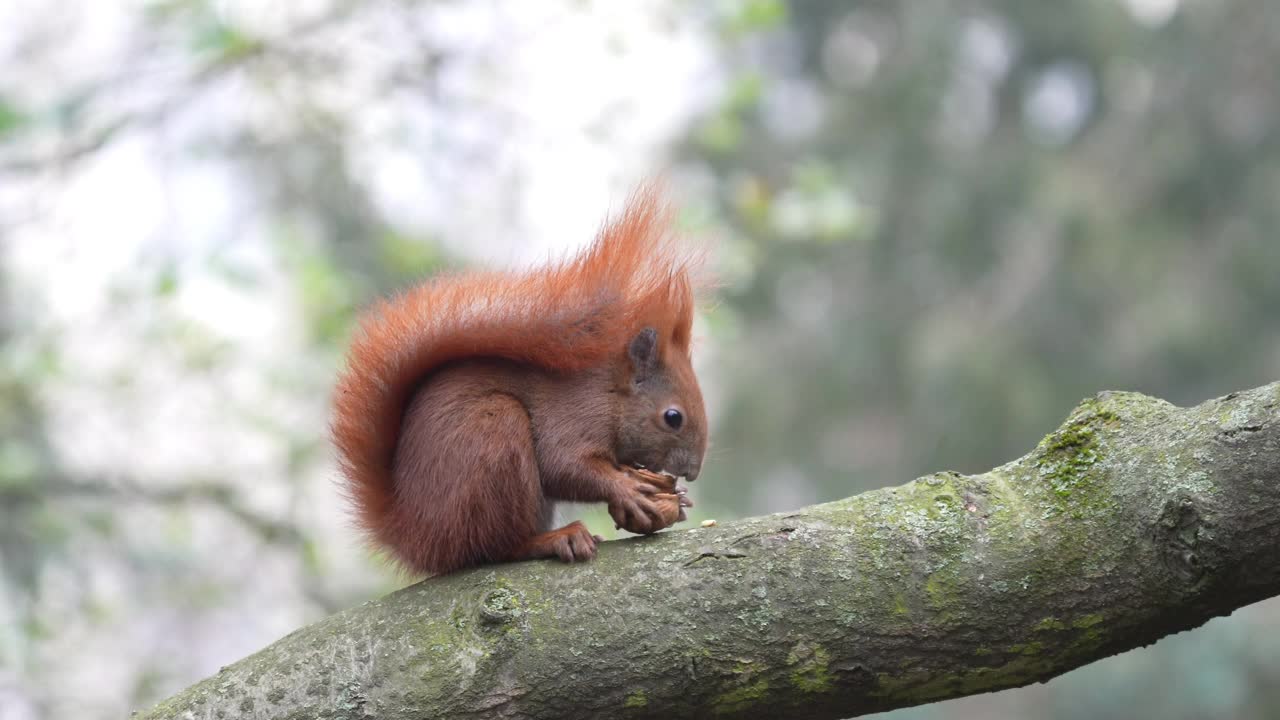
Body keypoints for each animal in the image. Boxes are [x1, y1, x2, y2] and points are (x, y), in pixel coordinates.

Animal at [330, 188, 711, 573]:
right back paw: (553, 539)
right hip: (492, 438)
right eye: (673, 417)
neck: (609, 393)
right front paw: (627, 489)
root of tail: (414, 534)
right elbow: (564, 465)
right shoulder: (575, 415)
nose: (692, 472)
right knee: (494, 547)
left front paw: (678, 499)